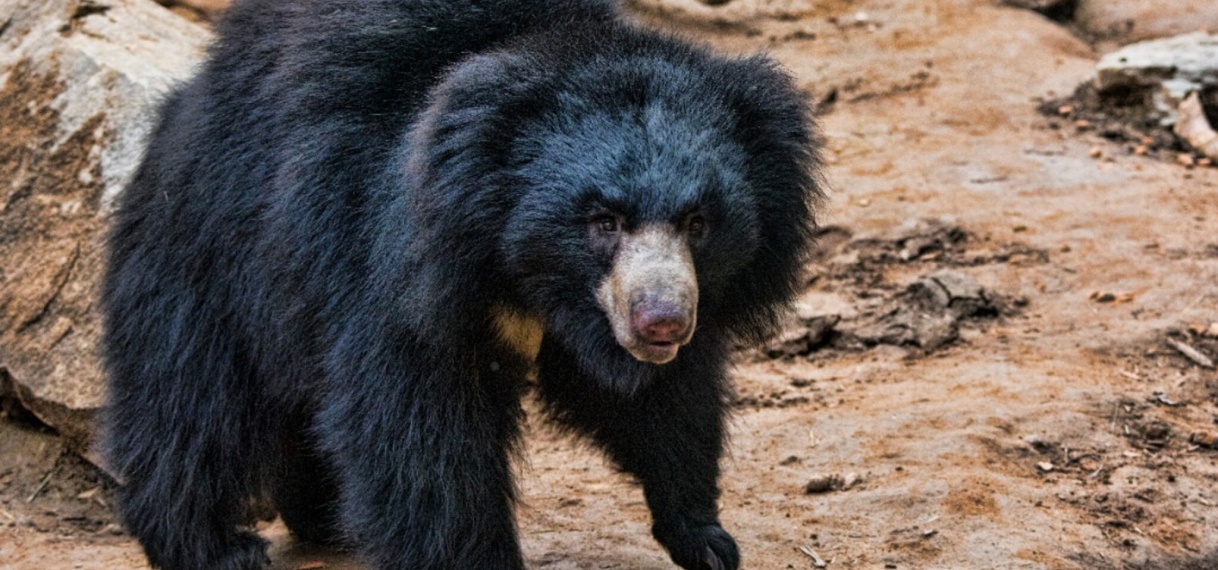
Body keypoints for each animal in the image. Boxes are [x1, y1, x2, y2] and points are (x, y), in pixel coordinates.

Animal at [102, 1, 818, 570]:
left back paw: (324, 517)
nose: (662, 321)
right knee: (193, 397)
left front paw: (704, 537)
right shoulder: (392, 260)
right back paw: (215, 546)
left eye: (698, 221)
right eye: (603, 221)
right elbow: (416, 428)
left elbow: (665, 404)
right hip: (207, 249)